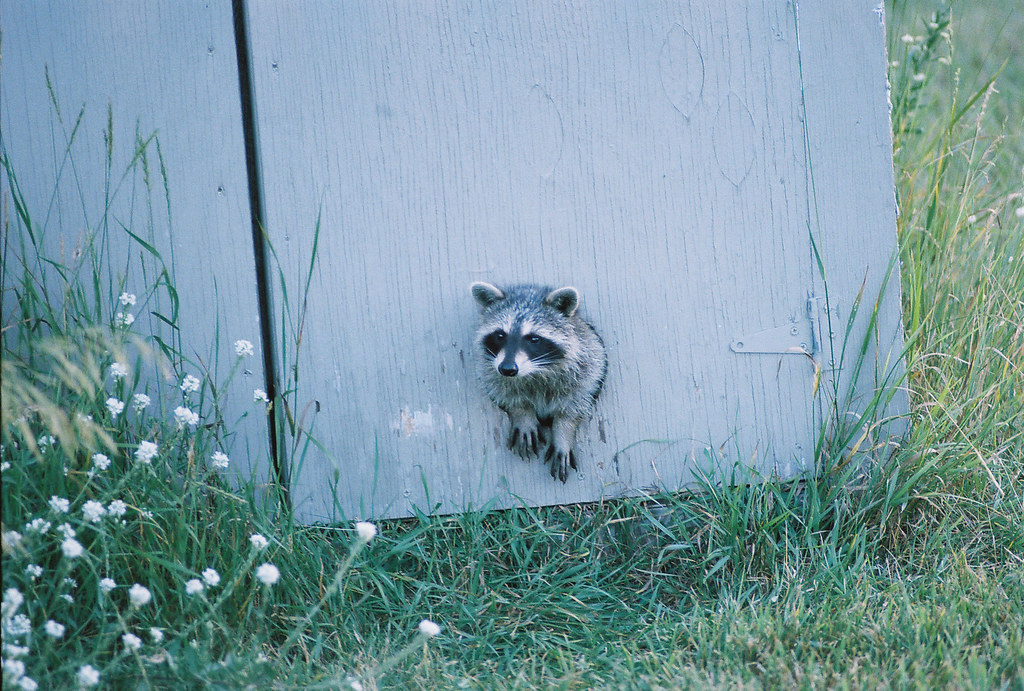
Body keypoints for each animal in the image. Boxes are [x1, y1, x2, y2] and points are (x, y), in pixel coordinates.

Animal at [470, 281, 607, 482]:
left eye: (534, 339)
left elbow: (576, 403)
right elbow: (504, 393)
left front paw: (563, 431)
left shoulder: (590, 362)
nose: (507, 369)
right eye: (500, 335)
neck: (534, 372)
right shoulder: (490, 370)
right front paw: (522, 412)